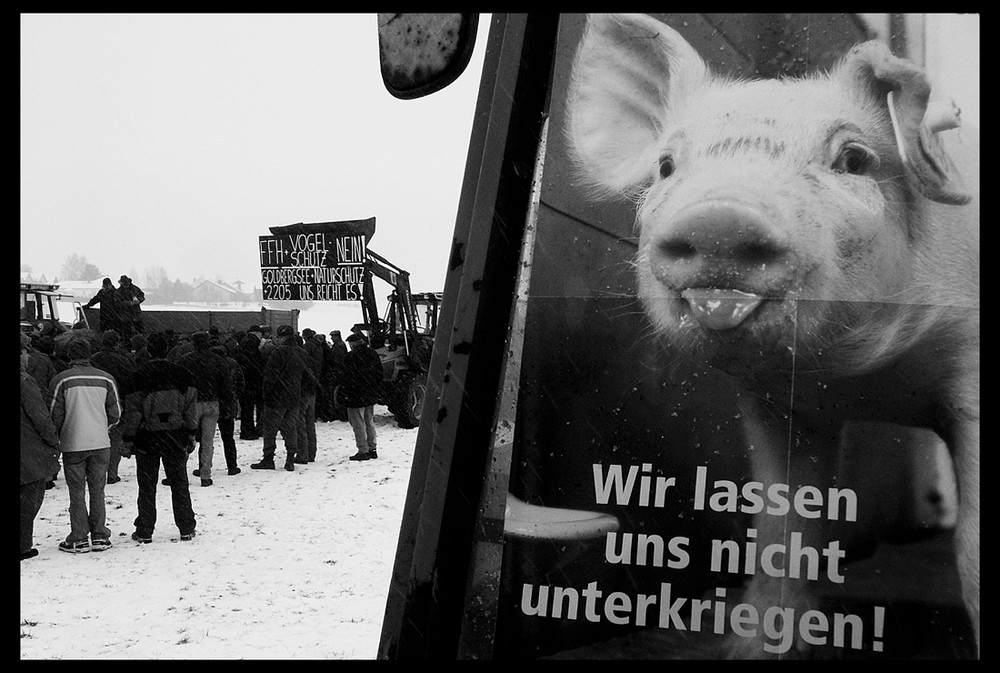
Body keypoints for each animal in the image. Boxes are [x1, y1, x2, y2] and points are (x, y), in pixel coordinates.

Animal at [568, 13, 980, 660]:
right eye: (666, 166)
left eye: (854, 159)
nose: (719, 216)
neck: (868, 387)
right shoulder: (775, 406)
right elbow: (781, 531)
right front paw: (753, 649)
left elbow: (971, 556)